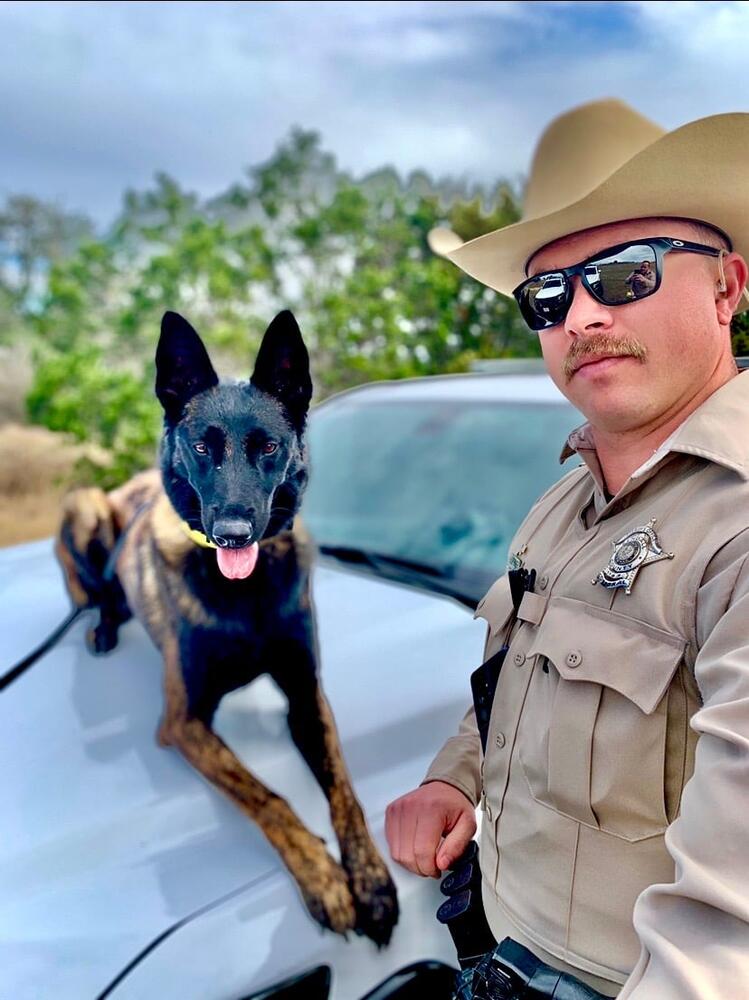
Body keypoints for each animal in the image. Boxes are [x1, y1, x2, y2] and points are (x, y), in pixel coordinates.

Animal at [53, 312, 398, 944]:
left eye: (269, 447)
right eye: (200, 447)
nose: (233, 534)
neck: (245, 598)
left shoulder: (306, 697)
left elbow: (344, 793)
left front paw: (369, 879)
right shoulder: (183, 721)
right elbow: (267, 797)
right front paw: (324, 879)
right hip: (83, 506)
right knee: (96, 594)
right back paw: (105, 626)